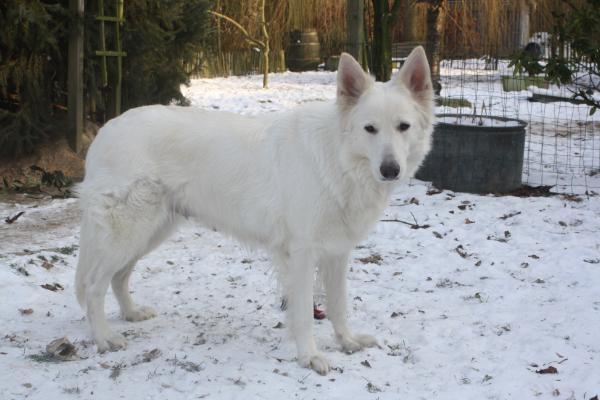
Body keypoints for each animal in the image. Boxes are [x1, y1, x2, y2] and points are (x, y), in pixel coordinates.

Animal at [76, 47, 436, 376]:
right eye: (369, 129)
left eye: (403, 127)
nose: (390, 170)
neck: (340, 159)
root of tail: (105, 131)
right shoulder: (303, 254)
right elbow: (304, 313)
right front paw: (310, 357)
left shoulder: (337, 253)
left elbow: (338, 305)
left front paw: (346, 341)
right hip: (129, 231)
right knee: (94, 286)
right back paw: (104, 338)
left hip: (150, 232)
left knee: (119, 277)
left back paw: (131, 314)